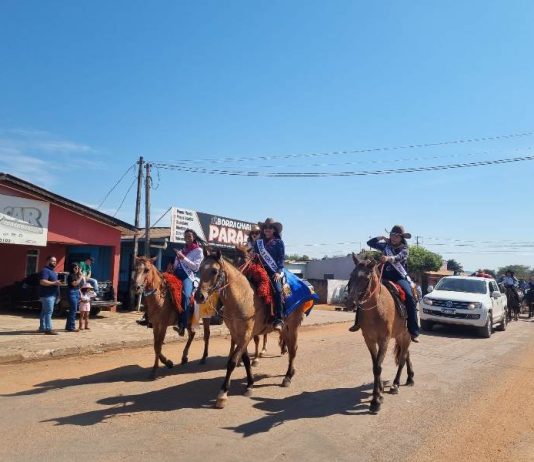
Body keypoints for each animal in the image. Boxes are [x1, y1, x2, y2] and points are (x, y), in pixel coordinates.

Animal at [194, 250, 304, 409]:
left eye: (214, 271)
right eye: (199, 269)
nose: (199, 296)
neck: (242, 298)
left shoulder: (246, 335)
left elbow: (232, 362)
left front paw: (222, 394)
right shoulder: (238, 335)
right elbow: (245, 360)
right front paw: (250, 384)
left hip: (293, 326)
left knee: (293, 350)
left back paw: (287, 377)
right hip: (285, 328)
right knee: (289, 348)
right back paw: (291, 372)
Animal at [346, 253, 414, 414]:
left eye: (366, 278)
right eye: (351, 275)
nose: (350, 302)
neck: (376, 309)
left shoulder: (384, 340)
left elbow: (378, 366)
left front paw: (375, 401)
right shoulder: (369, 340)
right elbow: (375, 365)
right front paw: (380, 391)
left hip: (406, 335)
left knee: (402, 358)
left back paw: (396, 384)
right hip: (400, 335)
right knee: (406, 354)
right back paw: (410, 377)